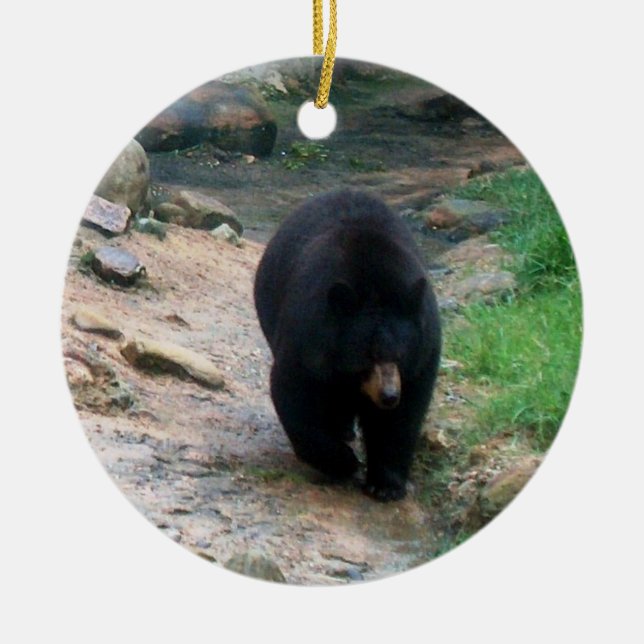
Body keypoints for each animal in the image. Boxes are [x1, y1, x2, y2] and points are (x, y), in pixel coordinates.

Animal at [254, 189, 441, 501]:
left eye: (400, 355)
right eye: (367, 356)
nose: (388, 396)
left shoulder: (423, 351)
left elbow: (403, 416)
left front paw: (385, 484)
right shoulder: (308, 337)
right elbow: (295, 393)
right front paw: (344, 462)